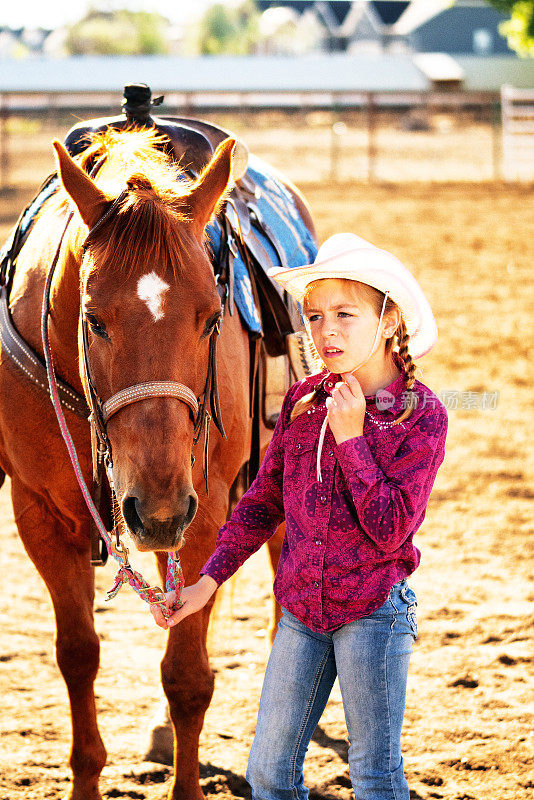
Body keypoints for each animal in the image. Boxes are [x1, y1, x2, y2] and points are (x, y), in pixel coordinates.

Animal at [0, 128, 318, 796]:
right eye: (93, 319)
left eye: (212, 316)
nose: (158, 509)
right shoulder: (41, 516)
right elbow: (78, 655)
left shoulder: (203, 516)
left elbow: (188, 678)